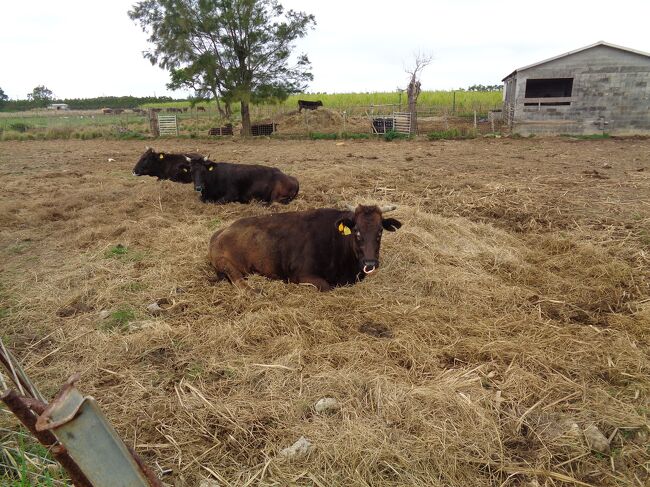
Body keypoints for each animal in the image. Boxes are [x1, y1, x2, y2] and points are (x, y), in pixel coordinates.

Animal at [208, 205, 400, 292]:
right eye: (357, 232)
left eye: (380, 231)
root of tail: (223, 230)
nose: (370, 263)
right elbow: (326, 286)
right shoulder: (300, 275)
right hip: (226, 263)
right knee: (237, 280)